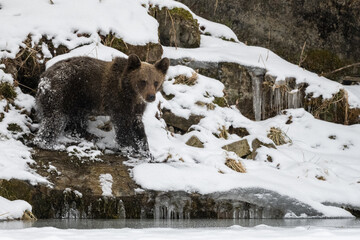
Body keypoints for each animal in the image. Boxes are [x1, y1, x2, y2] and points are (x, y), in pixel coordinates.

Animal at [34, 53, 169, 157]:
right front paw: (131, 148)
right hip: (63, 92)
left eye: (156, 82)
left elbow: (138, 128)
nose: (151, 97)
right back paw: (50, 144)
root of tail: (43, 77)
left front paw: (145, 151)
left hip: (78, 101)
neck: (131, 94)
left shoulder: (136, 109)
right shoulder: (118, 102)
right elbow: (123, 127)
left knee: (76, 119)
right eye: (143, 81)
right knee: (55, 119)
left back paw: (85, 134)